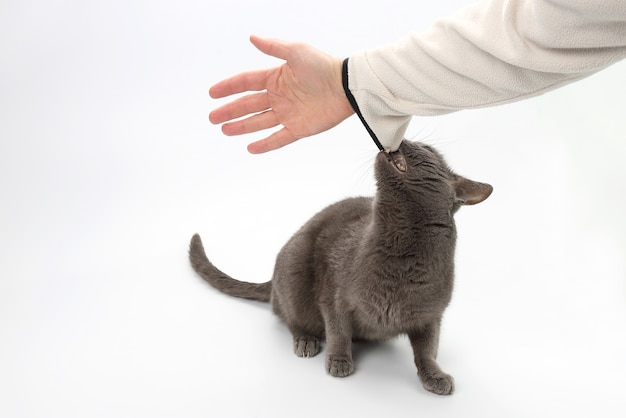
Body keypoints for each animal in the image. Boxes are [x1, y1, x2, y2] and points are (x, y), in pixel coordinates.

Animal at [188, 141, 490, 396]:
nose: (402, 139)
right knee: (288, 315)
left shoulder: (431, 315)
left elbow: (427, 350)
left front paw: (435, 376)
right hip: (294, 264)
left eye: (427, 149)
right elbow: (338, 331)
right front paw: (339, 359)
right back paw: (306, 340)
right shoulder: (334, 296)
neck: (402, 252)